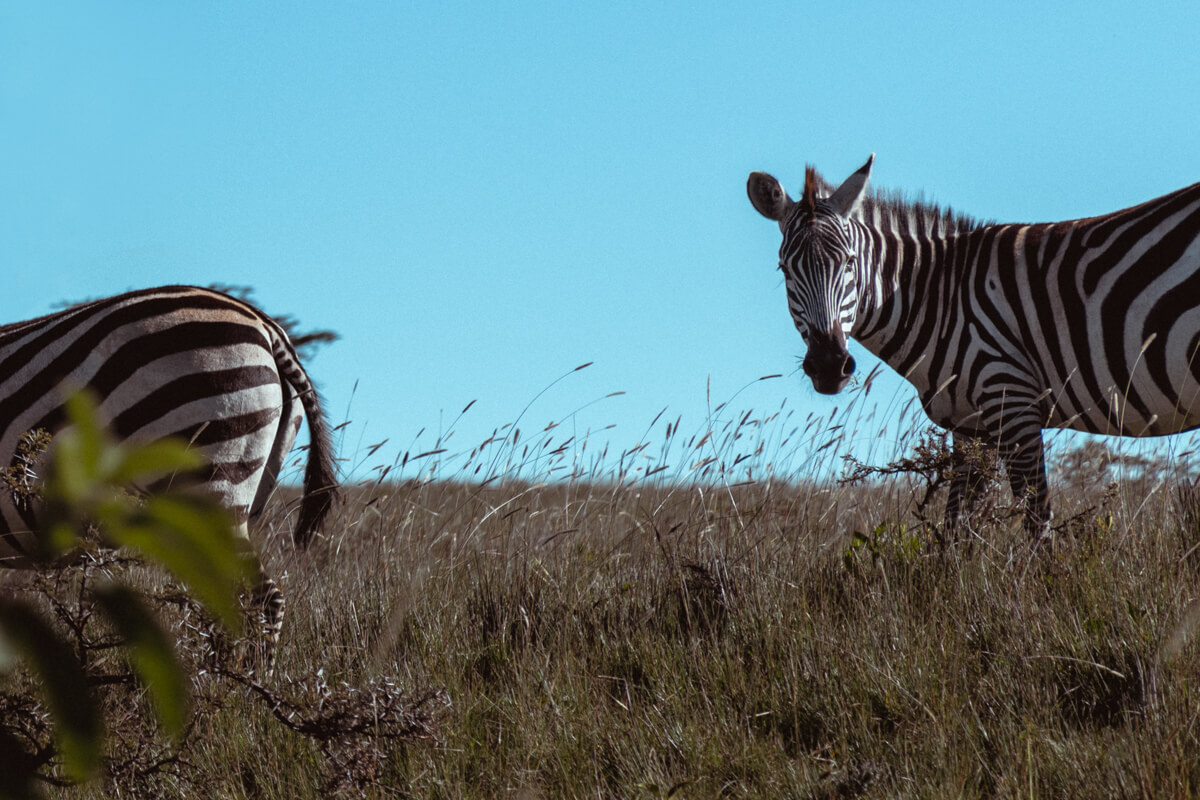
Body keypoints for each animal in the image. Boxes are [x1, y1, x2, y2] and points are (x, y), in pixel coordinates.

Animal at [748, 154, 1200, 537]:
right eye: (784, 269)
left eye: (850, 263)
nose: (828, 365)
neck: (938, 296)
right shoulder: (971, 426)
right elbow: (954, 533)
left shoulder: (1012, 400)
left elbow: (1037, 525)